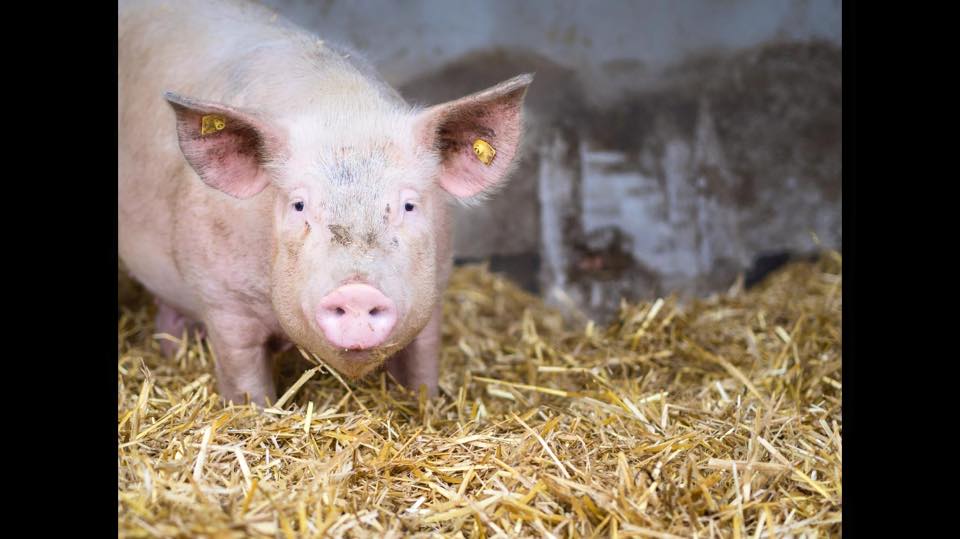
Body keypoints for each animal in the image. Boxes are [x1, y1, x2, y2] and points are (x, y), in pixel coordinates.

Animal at [118, 0, 533, 406]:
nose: (357, 292)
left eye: (409, 206)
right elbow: (244, 379)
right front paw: (255, 412)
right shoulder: (223, 302)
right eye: (299, 205)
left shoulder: (436, 289)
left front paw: (426, 407)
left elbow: (422, 368)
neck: (342, 112)